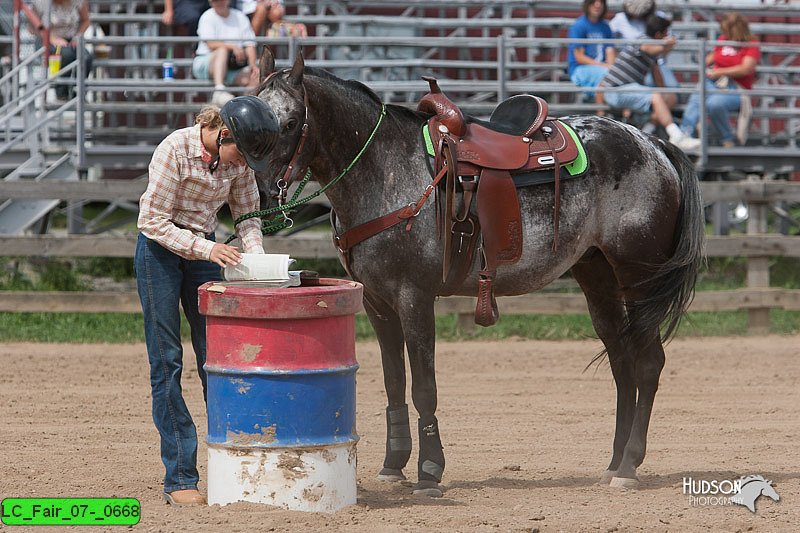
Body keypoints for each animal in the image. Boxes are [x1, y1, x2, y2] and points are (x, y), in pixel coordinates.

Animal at [253, 52, 704, 496]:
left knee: (648, 362)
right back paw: (613, 464)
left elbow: (423, 387)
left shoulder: (414, 297)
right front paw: (393, 466)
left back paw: (629, 466)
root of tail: (654, 145)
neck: (384, 170)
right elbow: (394, 382)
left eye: (290, 123)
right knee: (622, 362)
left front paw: (429, 472)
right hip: (597, 274)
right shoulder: (377, 303)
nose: (262, 190)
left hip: (638, 275)